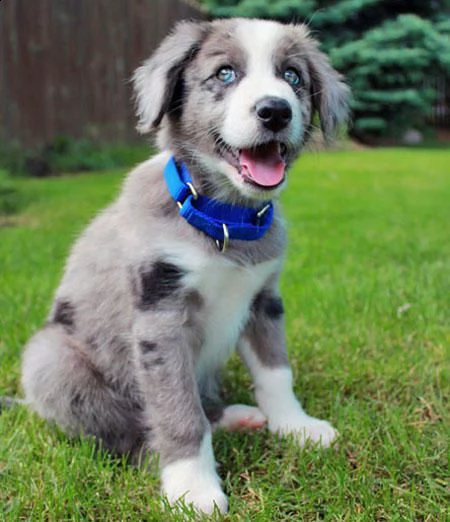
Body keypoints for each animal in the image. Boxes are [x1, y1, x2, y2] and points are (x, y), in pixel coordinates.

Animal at [22, 17, 348, 512]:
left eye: (292, 76)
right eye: (225, 73)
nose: (275, 111)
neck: (225, 220)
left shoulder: (263, 300)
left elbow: (276, 372)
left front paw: (296, 427)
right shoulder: (161, 316)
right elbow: (177, 409)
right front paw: (192, 486)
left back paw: (233, 417)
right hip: (50, 358)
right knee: (123, 429)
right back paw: (155, 454)